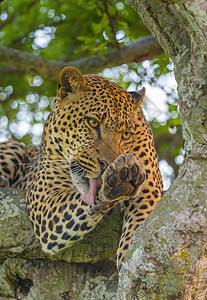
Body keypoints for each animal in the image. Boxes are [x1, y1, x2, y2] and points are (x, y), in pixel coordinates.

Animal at [0, 67, 163, 270]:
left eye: (126, 134)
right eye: (92, 122)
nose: (107, 165)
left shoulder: (150, 186)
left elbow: (143, 220)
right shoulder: (43, 197)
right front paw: (118, 182)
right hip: (14, 147)